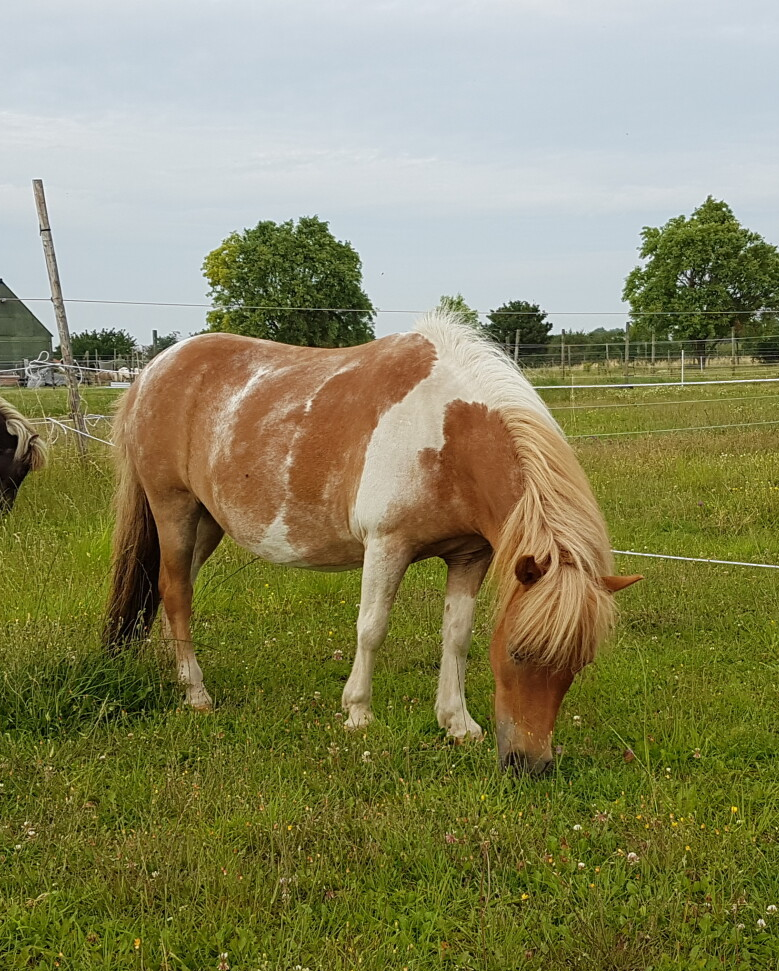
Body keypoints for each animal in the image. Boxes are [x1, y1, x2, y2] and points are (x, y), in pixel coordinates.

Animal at [103, 313, 640, 774]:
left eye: (579, 664)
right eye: (519, 653)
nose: (532, 764)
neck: (446, 437)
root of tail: (152, 370)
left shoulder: (471, 555)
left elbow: (457, 636)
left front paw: (457, 723)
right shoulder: (386, 546)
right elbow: (372, 629)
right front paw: (358, 713)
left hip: (207, 521)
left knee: (169, 588)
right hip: (174, 507)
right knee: (177, 592)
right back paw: (196, 694)